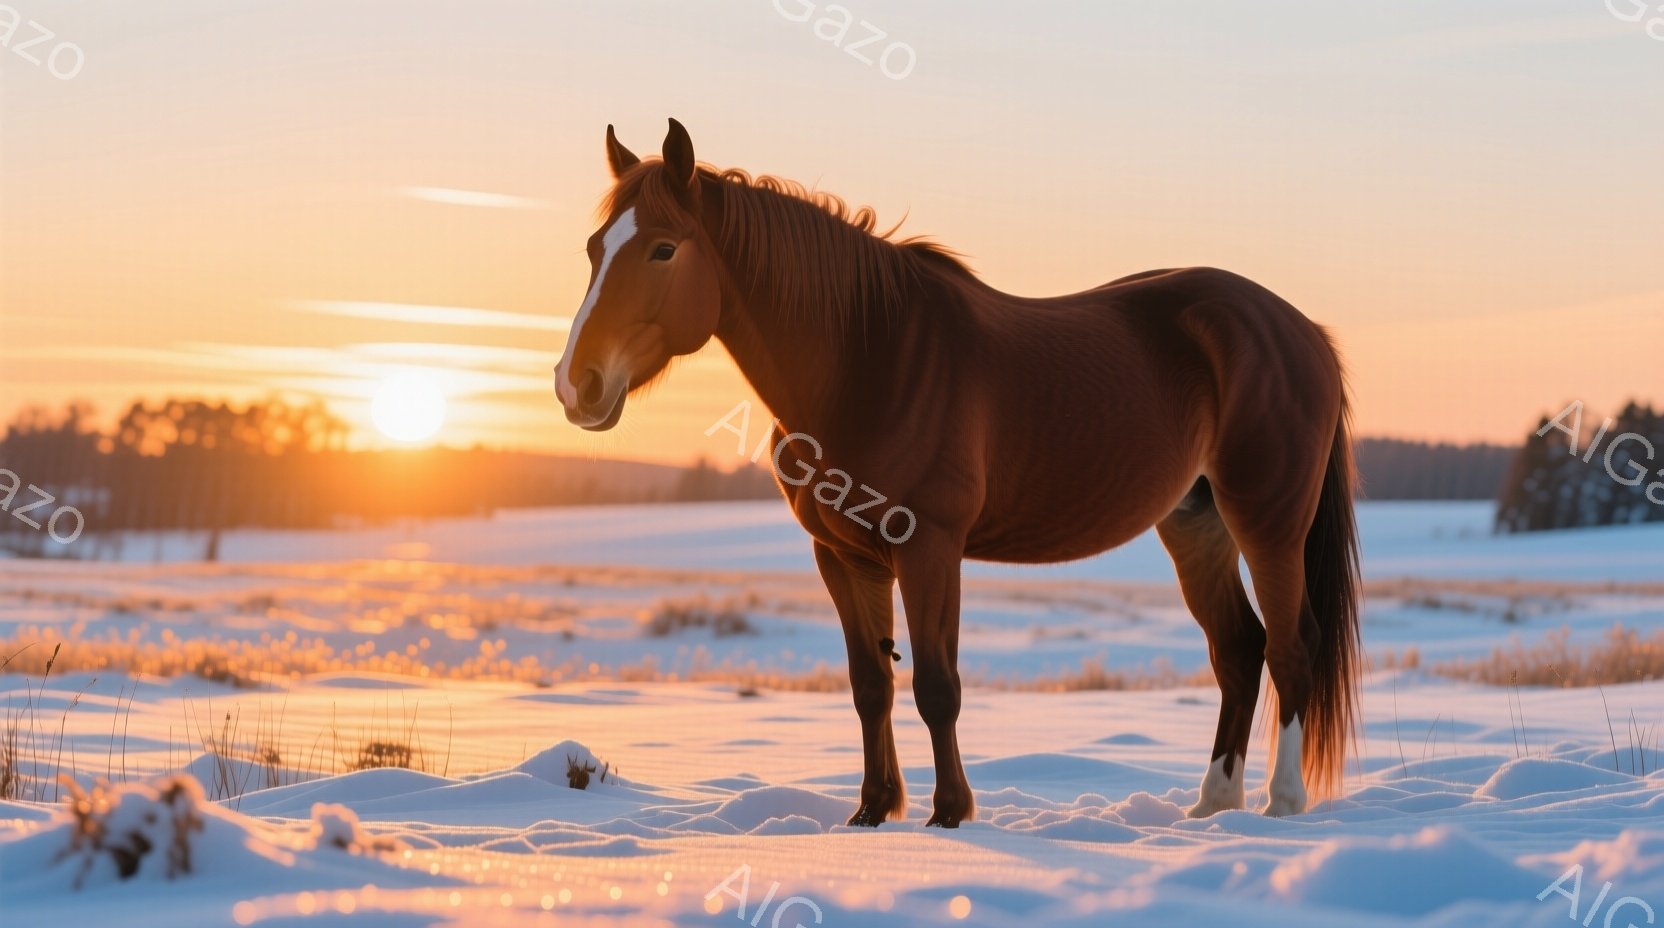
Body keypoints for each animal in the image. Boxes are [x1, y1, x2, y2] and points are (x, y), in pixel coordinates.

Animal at [553, 119, 1361, 827]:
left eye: (663, 249)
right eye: (594, 247)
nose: (576, 385)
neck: (868, 359)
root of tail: (1303, 331)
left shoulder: (930, 547)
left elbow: (936, 686)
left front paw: (949, 814)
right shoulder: (843, 556)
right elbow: (870, 686)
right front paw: (872, 811)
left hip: (1268, 521)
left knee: (1291, 646)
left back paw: (1281, 804)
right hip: (1195, 524)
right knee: (1239, 648)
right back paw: (1212, 806)